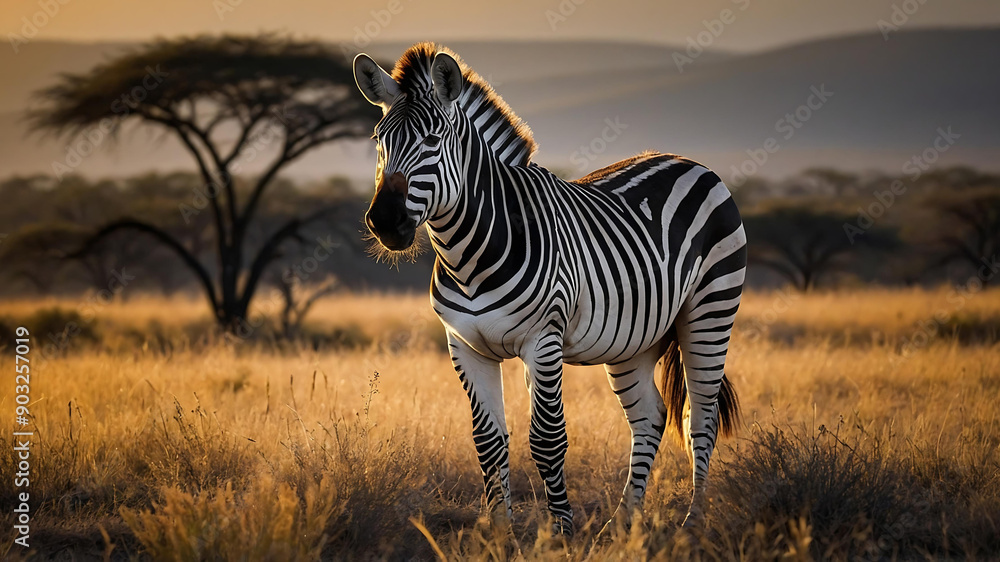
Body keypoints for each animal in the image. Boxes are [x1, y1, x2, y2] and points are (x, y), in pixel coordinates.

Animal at [353, 43, 746, 536]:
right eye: (378, 141)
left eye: (434, 140)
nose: (385, 222)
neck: (469, 258)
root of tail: (687, 161)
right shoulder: (464, 345)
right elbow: (488, 439)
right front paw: (499, 532)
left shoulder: (543, 340)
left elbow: (547, 438)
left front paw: (561, 531)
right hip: (634, 339)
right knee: (649, 418)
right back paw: (623, 523)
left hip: (710, 312)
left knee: (702, 421)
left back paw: (693, 522)